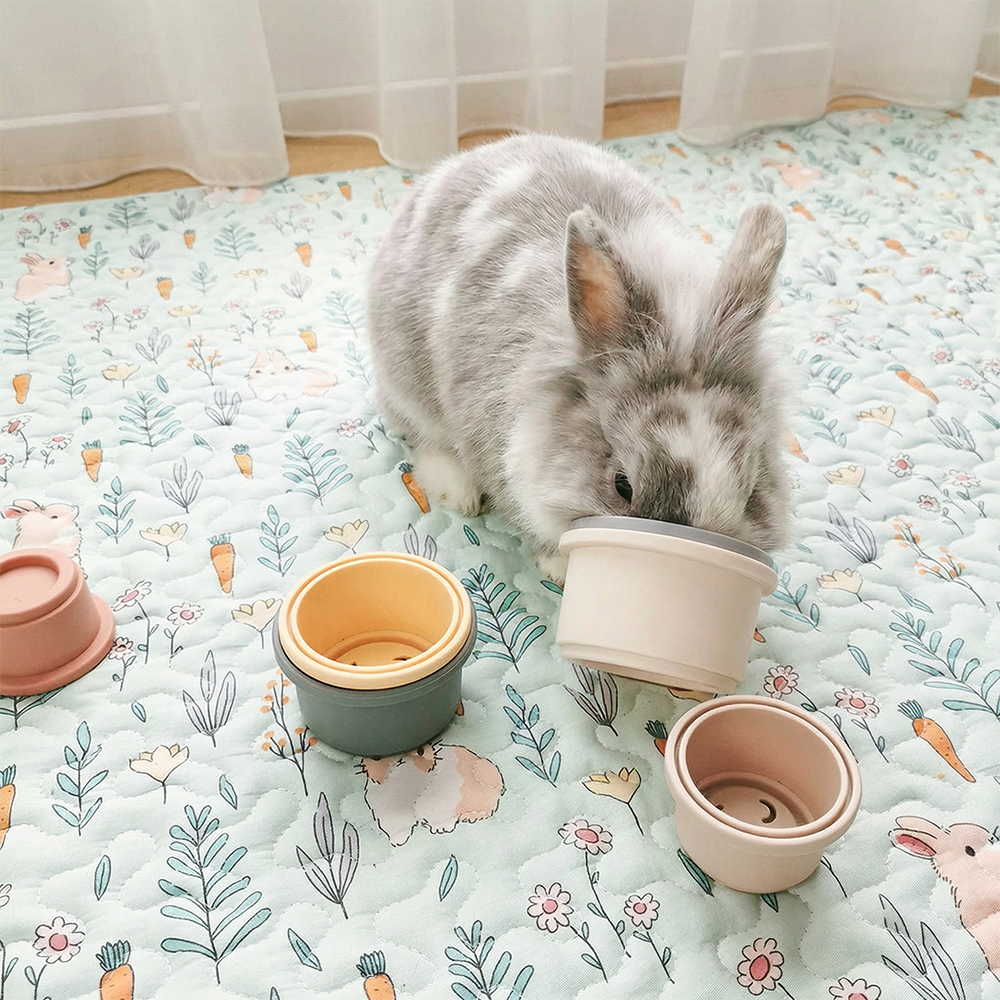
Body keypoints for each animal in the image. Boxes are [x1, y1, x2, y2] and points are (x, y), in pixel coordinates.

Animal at [360, 743, 504, 846]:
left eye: (420, 750)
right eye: (376, 758)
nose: (401, 758)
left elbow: (439, 815)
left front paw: (441, 827)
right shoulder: (384, 809)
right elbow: (398, 825)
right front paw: (399, 839)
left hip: (484, 771)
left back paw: (471, 815)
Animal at [367, 133, 789, 583]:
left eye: (751, 491)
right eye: (622, 485)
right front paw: (559, 568)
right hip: (404, 376)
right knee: (418, 434)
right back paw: (457, 489)